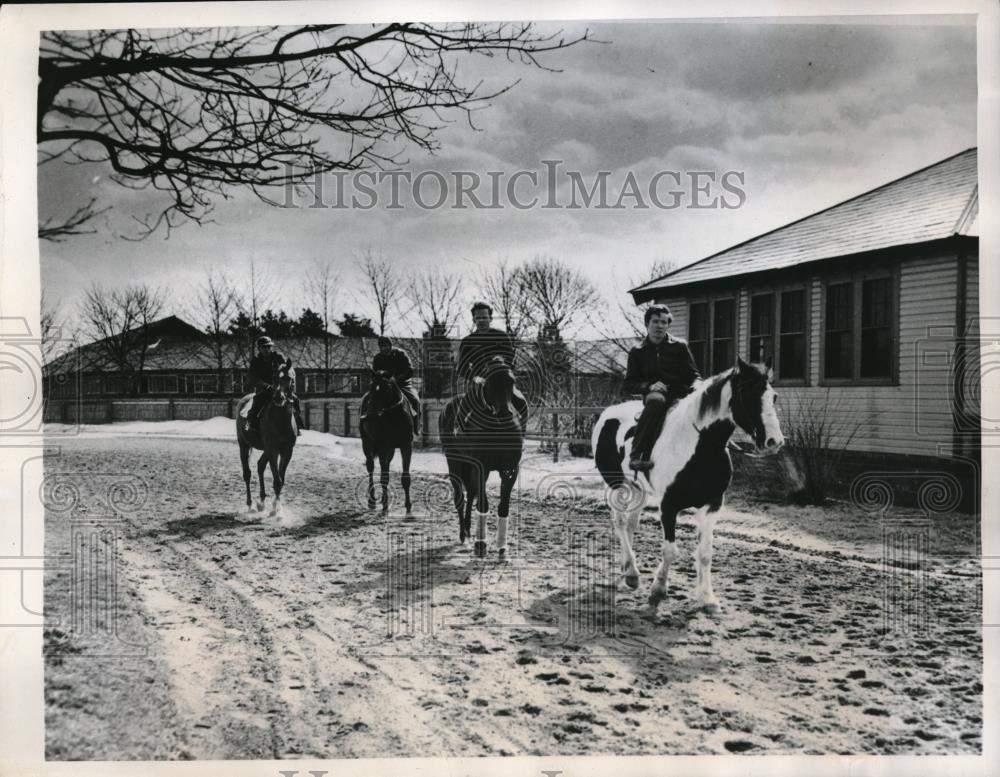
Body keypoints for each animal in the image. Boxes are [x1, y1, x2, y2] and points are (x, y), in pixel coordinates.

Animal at [235, 360, 296, 520]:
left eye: (289, 378)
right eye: (274, 378)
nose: (279, 398)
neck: (280, 420)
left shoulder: (287, 451)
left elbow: (281, 479)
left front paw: (276, 507)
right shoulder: (273, 451)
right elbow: (277, 480)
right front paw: (276, 511)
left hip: (265, 450)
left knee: (260, 465)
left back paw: (261, 502)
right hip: (243, 445)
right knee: (247, 473)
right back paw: (250, 504)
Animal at [360, 370, 414, 516]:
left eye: (386, 389)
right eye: (371, 388)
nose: (369, 416)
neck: (394, 415)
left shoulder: (406, 446)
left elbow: (405, 478)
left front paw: (408, 506)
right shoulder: (383, 446)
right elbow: (383, 477)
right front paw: (384, 506)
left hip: (390, 450)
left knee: (385, 467)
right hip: (367, 443)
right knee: (371, 467)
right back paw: (372, 501)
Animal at [442, 358, 528, 556]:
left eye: (512, 381)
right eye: (489, 382)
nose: (504, 413)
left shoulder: (510, 470)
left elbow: (503, 507)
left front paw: (502, 547)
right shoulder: (481, 468)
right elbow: (483, 504)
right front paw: (481, 544)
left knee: (470, 494)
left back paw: (467, 530)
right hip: (455, 462)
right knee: (460, 498)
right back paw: (463, 535)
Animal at [592, 354, 780, 608]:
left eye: (773, 396)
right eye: (749, 395)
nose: (774, 441)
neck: (699, 447)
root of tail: (608, 413)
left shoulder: (712, 505)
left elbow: (705, 553)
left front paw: (707, 597)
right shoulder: (668, 506)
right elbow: (670, 550)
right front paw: (659, 588)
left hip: (638, 489)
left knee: (630, 524)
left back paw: (626, 572)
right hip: (616, 485)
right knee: (620, 523)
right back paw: (631, 573)